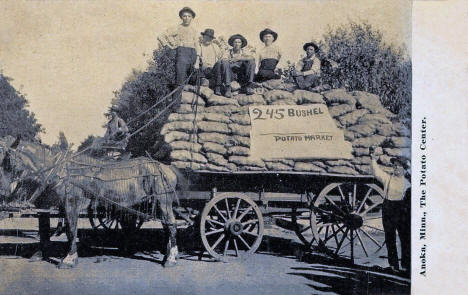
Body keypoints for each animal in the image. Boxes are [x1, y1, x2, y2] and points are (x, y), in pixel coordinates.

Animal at [0, 138, 184, 270]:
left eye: (7, 161)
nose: (3, 191)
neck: (62, 171)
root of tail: (166, 168)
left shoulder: (71, 203)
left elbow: (71, 230)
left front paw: (69, 259)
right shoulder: (65, 206)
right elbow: (69, 230)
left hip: (163, 202)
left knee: (172, 226)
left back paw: (171, 259)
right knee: (167, 227)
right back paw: (169, 254)